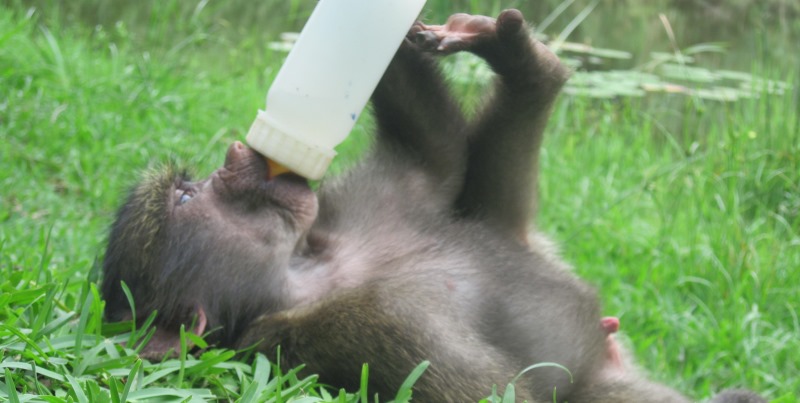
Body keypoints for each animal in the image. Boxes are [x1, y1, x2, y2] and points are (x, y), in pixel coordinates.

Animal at [101, 9, 765, 403]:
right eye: (187, 196)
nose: (238, 157)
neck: (311, 268)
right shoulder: (366, 330)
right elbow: (500, 396)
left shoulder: (350, 205)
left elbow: (438, 160)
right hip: (607, 385)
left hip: (518, 232)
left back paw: (529, 67)